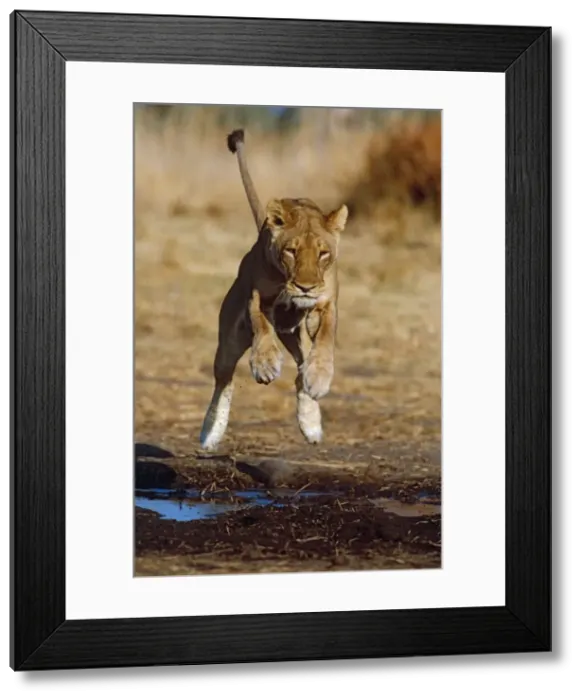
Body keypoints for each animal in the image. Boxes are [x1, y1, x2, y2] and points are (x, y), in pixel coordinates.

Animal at [199, 128, 348, 450]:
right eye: (291, 251)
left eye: (323, 253)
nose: (305, 287)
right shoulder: (257, 296)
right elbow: (261, 326)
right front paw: (265, 364)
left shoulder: (326, 304)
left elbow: (325, 340)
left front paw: (319, 378)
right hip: (230, 339)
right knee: (224, 380)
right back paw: (210, 432)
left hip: (295, 334)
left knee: (300, 372)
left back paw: (310, 422)